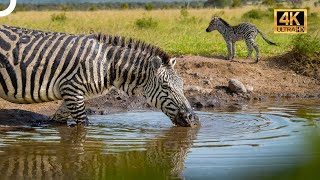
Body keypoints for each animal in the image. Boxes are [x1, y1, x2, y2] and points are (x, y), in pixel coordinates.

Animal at [0, 25, 200, 126]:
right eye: (166, 87)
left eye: (182, 86)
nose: (193, 119)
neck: (108, 64)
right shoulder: (72, 90)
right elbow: (83, 126)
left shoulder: (70, 94)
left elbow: (59, 119)